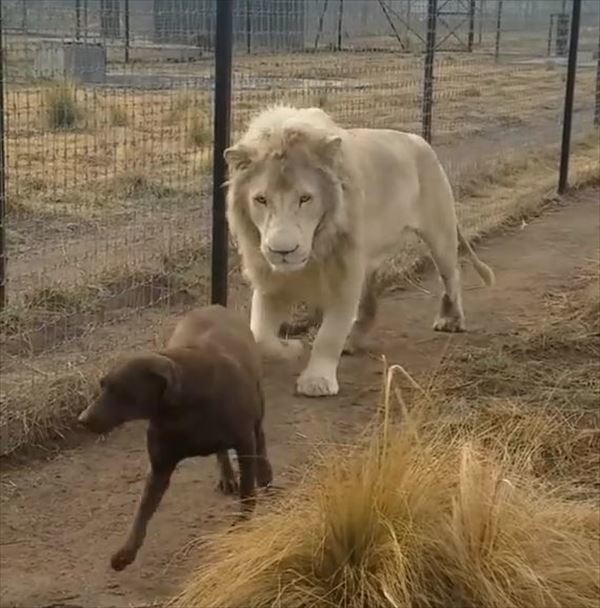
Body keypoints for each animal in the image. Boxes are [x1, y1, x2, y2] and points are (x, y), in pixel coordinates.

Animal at [77, 306, 272, 572]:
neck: (182, 409)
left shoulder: (244, 444)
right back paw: (227, 475)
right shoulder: (159, 467)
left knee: (260, 438)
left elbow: (247, 492)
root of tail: (216, 307)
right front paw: (126, 552)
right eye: (102, 385)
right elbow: (141, 513)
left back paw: (264, 472)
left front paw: (243, 524)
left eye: (123, 392)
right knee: (222, 451)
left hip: (257, 407)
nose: (82, 419)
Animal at [224, 105, 492, 400]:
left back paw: (450, 320)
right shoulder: (271, 281)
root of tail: (420, 140)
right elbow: (260, 336)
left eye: (305, 198)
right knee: (370, 301)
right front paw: (291, 348)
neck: (316, 248)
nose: (283, 250)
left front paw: (317, 381)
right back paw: (355, 339)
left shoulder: (344, 272)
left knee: (452, 275)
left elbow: (329, 334)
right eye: (261, 199)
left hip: (439, 233)